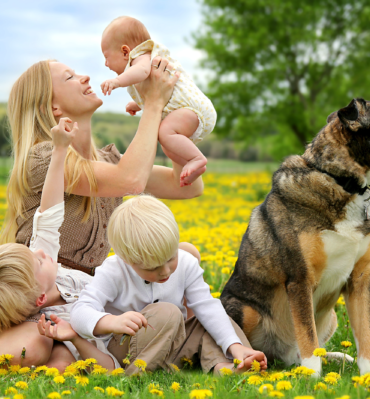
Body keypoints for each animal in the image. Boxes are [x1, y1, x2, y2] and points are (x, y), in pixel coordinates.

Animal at [221, 98, 370, 376]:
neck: (339, 181)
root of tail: (280, 357)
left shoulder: (359, 281)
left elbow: (364, 338)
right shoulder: (300, 279)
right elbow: (308, 339)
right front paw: (312, 378)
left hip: (332, 317)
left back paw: (338, 358)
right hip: (244, 309)